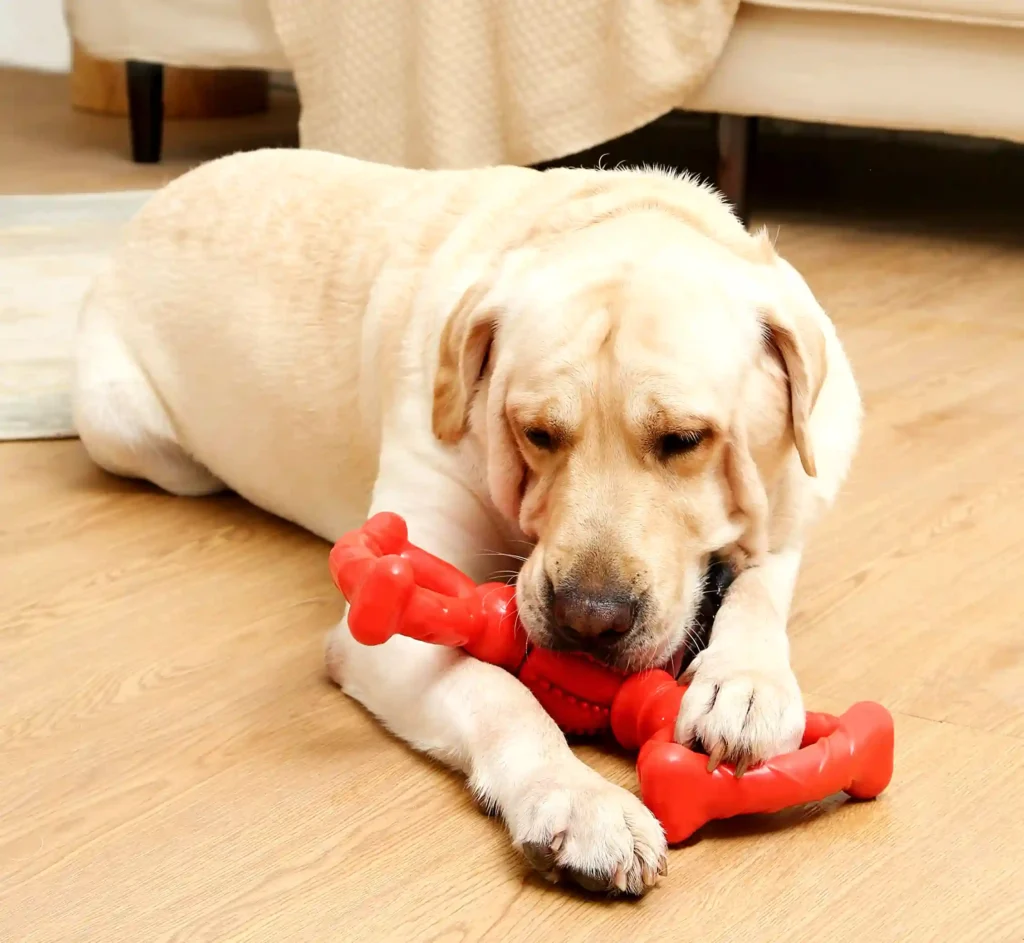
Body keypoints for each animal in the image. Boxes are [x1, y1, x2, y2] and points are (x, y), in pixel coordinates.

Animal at [74, 149, 856, 896]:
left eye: (685, 438)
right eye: (535, 432)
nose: (588, 619)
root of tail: (155, 202)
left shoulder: (791, 515)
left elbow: (758, 592)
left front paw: (747, 685)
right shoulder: (386, 618)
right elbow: (501, 694)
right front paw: (580, 803)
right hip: (129, 431)